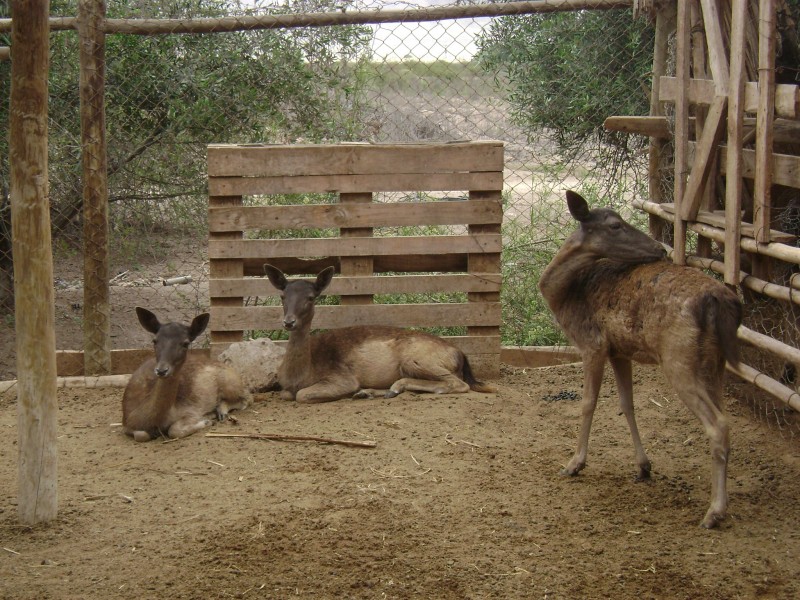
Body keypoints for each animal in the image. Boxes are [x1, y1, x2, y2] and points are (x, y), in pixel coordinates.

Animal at [122, 310, 250, 440]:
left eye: (185, 343)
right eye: (154, 340)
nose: (162, 370)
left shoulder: (190, 410)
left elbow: (174, 430)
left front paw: (206, 421)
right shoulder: (125, 421)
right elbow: (141, 435)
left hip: (231, 383)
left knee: (247, 398)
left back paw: (220, 412)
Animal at [262, 262, 494, 404]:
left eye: (311, 297)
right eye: (282, 296)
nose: (289, 322)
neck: (299, 375)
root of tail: (460, 353)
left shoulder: (342, 377)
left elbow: (301, 395)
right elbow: (285, 394)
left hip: (417, 358)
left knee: (459, 383)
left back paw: (390, 387)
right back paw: (370, 392)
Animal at [536, 190, 744, 528]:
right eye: (615, 224)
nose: (659, 248)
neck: (565, 296)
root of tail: (720, 301)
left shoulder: (592, 343)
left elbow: (588, 403)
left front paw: (575, 463)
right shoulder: (620, 351)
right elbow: (627, 404)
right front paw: (644, 466)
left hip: (679, 358)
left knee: (719, 425)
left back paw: (714, 512)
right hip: (716, 364)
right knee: (724, 417)